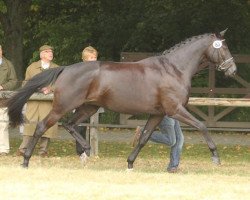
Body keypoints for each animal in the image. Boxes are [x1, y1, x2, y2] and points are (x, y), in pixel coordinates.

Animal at [6, 30, 236, 169]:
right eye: (223, 47)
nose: (232, 70)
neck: (174, 69)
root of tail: (65, 69)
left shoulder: (158, 114)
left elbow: (144, 138)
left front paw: (130, 163)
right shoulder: (175, 110)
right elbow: (202, 126)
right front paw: (215, 157)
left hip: (88, 107)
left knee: (70, 124)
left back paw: (86, 150)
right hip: (63, 106)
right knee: (42, 126)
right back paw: (26, 160)